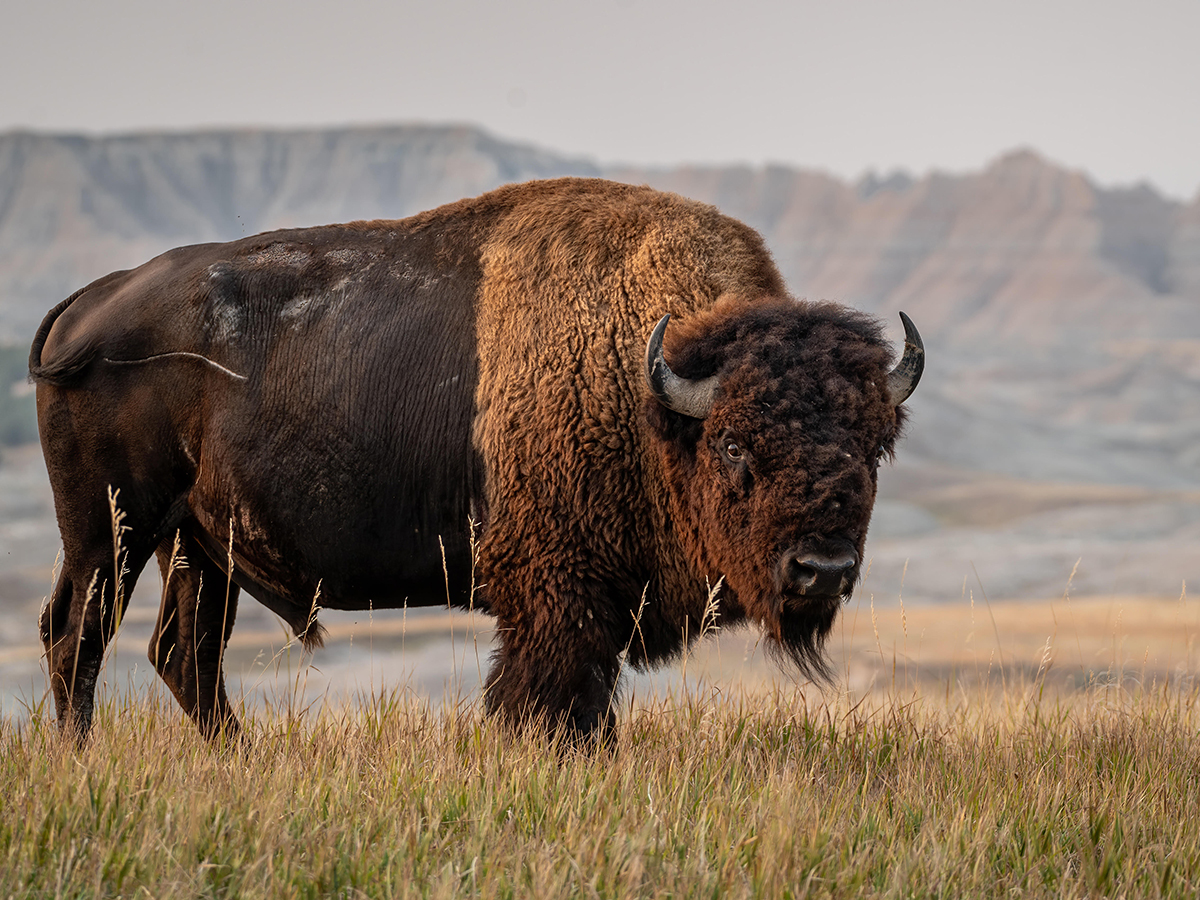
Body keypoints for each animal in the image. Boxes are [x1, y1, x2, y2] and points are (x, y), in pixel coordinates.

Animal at [30, 177, 922, 741]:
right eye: (734, 444)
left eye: (873, 446)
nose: (822, 570)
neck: (647, 387)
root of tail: (90, 302)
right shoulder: (559, 603)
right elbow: (555, 705)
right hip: (111, 530)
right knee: (79, 634)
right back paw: (81, 762)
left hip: (197, 544)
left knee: (183, 655)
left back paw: (241, 763)